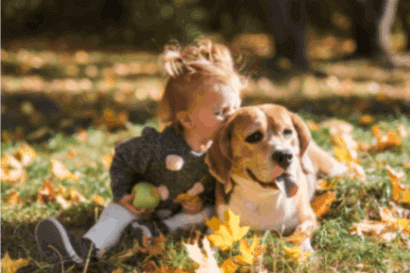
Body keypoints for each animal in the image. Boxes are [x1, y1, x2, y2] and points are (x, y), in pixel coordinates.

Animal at [205, 103, 346, 251]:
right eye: (254, 136)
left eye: (287, 132)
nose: (285, 156)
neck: (262, 197)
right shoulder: (218, 222)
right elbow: (214, 239)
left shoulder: (308, 217)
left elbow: (301, 231)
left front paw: (304, 250)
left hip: (333, 168)